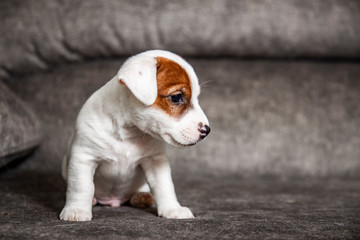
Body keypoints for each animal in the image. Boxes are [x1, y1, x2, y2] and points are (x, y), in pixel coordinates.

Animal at [59, 49, 211, 221]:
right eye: (176, 97)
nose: (207, 130)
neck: (129, 133)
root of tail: (114, 201)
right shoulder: (84, 157)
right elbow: (82, 186)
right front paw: (76, 210)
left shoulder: (156, 161)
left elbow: (164, 186)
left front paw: (172, 209)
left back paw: (142, 196)